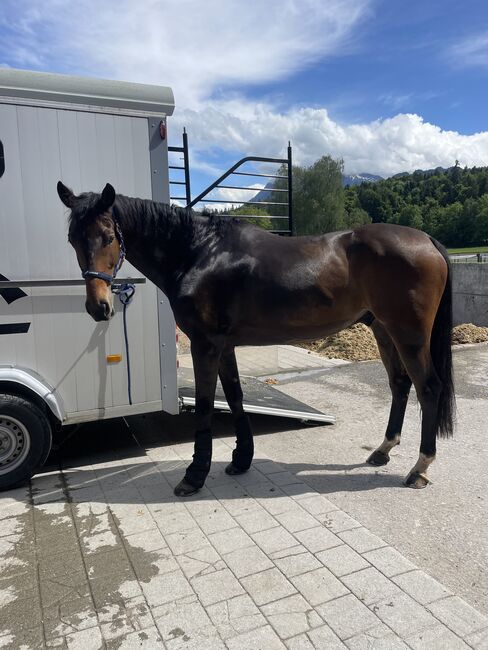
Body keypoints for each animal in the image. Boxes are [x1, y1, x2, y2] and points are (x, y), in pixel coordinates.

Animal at [58, 182, 454, 496]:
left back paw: (419, 468)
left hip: (408, 334)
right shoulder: (225, 345)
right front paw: (240, 460)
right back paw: (382, 451)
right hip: (383, 329)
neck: (199, 252)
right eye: (72, 240)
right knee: (400, 384)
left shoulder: (205, 344)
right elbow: (234, 397)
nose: (98, 307)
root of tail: (427, 240)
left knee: (428, 388)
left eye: (109, 237)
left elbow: (206, 405)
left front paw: (194, 476)